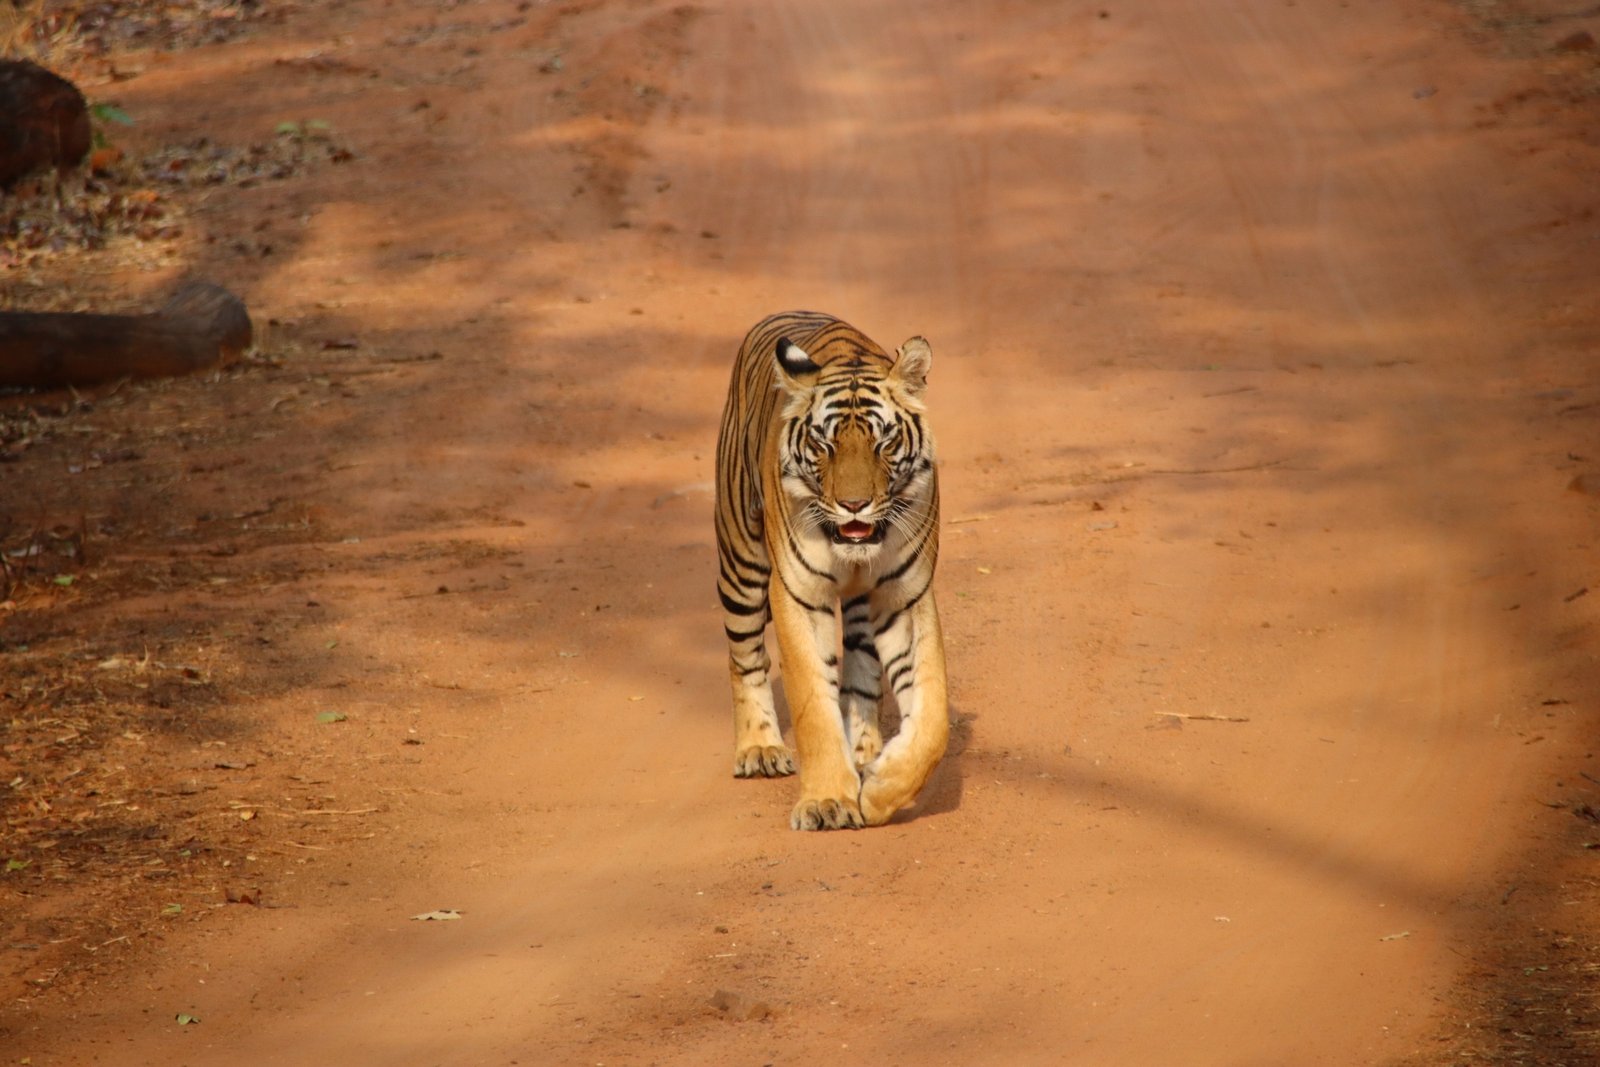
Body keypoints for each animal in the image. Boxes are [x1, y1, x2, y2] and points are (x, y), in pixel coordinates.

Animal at [715, 311, 949, 830]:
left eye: (884, 442)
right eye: (824, 444)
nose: (854, 505)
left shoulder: (904, 596)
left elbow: (933, 716)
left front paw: (881, 789)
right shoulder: (799, 596)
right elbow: (811, 704)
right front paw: (826, 801)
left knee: (860, 673)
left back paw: (863, 752)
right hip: (741, 559)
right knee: (745, 656)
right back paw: (760, 748)